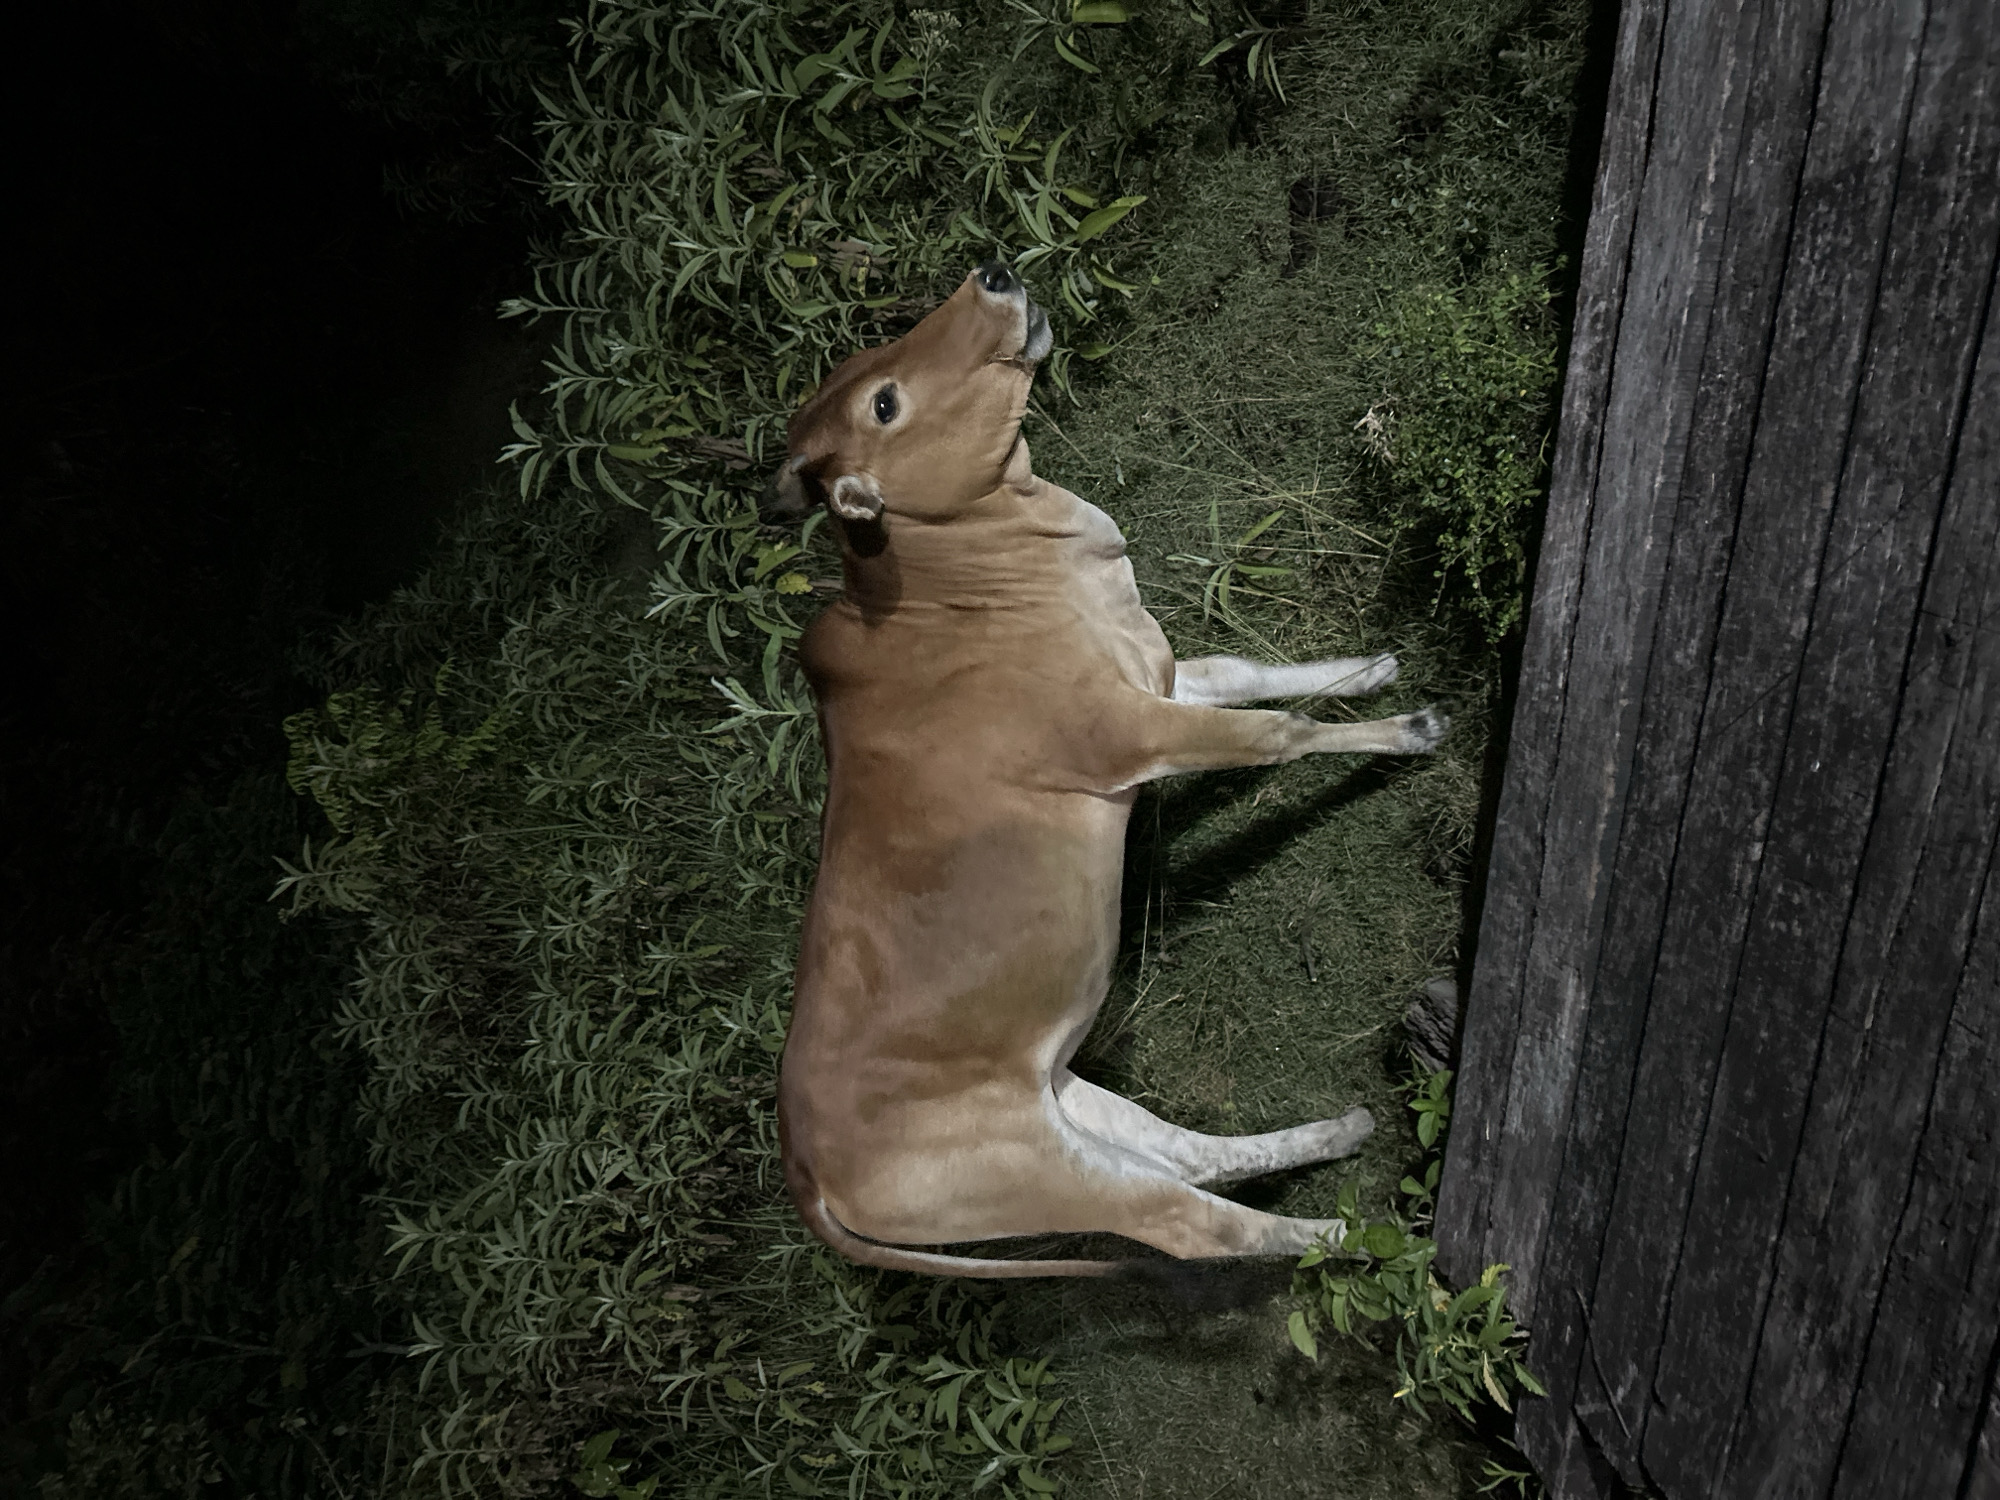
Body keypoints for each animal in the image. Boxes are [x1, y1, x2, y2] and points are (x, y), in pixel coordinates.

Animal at [763, 262, 1448, 1277]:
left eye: (874, 364)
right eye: (885, 403)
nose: (993, 273)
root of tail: (803, 1169)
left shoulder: (1154, 673)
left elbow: (1249, 675)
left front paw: (1369, 671)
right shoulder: (1127, 730)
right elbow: (1275, 732)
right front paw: (1407, 732)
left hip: (1067, 1102)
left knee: (1189, 1155)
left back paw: (1339, 1133)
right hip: (1029, 1171)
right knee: (1196, 1225)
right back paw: (1368, 1239)